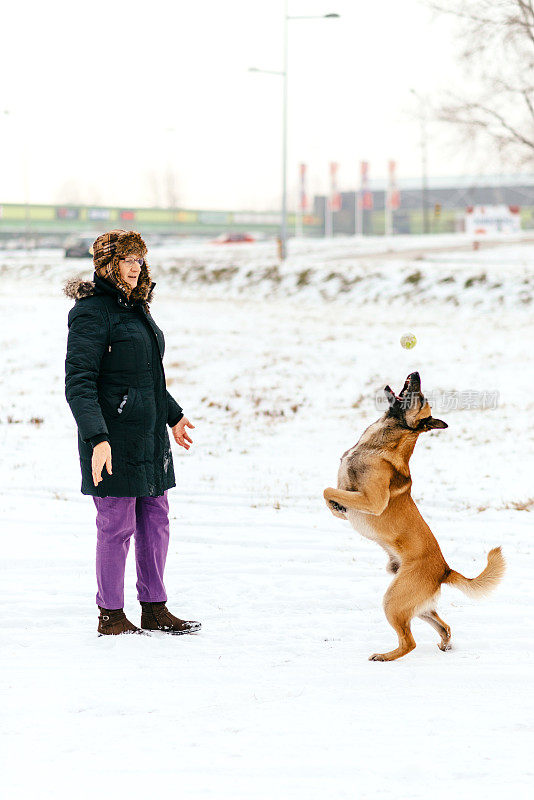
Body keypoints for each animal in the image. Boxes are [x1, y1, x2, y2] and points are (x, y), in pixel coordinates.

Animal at [326, 372, 506, 660]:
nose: (416, 374)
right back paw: (445, 645)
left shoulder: (373, 501)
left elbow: (327, 490)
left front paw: (335, 504)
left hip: (393, 601)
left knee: (409, 642)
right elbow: (332, 496)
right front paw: (336, 508)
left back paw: (385, 657)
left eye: (419, 398)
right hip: (415, 605)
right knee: (444, 626)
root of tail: (445, 570)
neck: (377, 444)